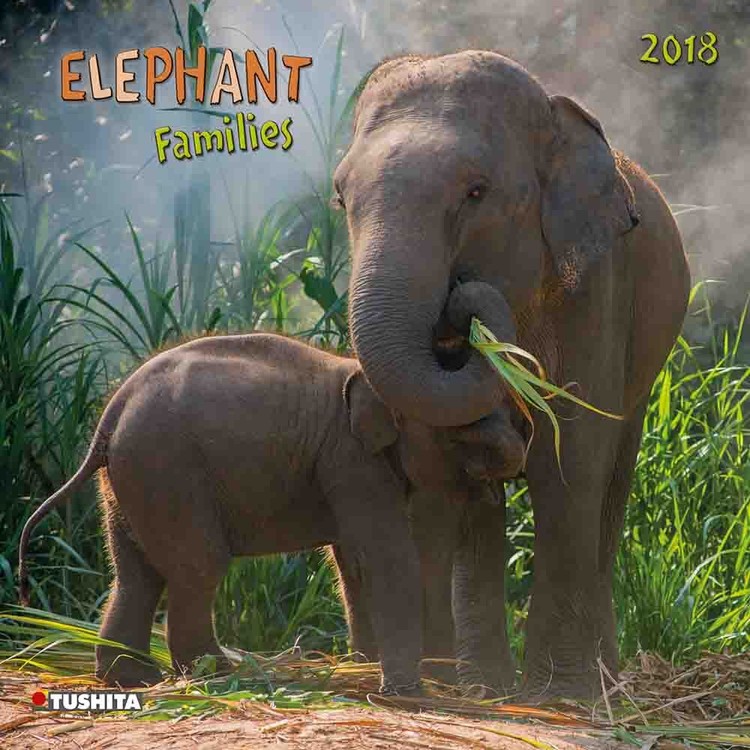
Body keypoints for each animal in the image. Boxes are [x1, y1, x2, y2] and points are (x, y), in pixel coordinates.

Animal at [18, 283, 526, 691]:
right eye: (469, 424)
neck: (362, 369)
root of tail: (113, 411)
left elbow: (352, 562)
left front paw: (365, 666)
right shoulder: (349, 461)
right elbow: (384, 556)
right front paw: (404, 691)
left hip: (128, 479)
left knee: (135, 573)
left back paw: (132, 678)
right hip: (168, 470)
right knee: (198, 566)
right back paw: (213, 673)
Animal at [334, 50, 691, 699]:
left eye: (476, 192)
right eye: (341, 198)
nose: (458, 300)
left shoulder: (596, 286)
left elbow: (569, 459)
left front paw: (559, 694)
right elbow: (464, 467)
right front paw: (486, 690)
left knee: (611, 486)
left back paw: (602, 683)